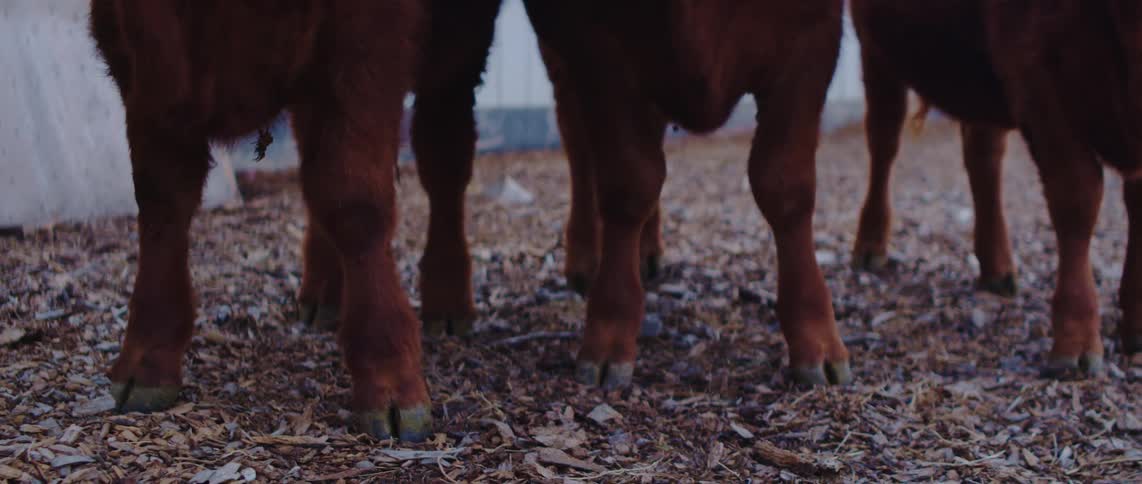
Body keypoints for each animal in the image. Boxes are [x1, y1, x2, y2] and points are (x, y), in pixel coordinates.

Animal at [90, 0, 432, 440]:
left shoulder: (368, 32)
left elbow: (355, 198)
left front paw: (388, 374)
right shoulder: (142, 43)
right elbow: (161, 198)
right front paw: (148, 356)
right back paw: (324, 293)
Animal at [520, 0, 853, 388]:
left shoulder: (813, 32)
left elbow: (785, 184)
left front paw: (816, 338)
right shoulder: (592, 40)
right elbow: (629, 182)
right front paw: (609, 333)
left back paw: (646, 250)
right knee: (577, 135)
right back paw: (585, 260)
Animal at [849, 0, 1142, 374]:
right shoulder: (1038, 79)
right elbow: (1078, 198)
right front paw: (1075, 342)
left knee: (982, 153)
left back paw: (996, 269)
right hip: (876, 48)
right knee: (884, 137)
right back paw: (870, 247)